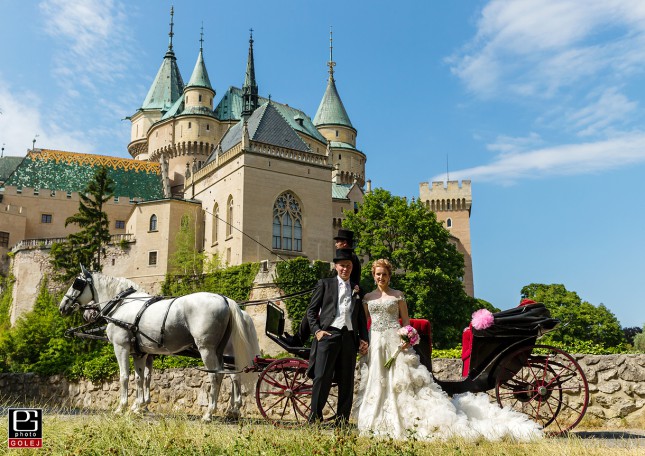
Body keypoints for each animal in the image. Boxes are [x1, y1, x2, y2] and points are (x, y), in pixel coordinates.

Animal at [59, 268, 260, 420]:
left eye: (77, 283)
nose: (62, 307)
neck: (122, 305)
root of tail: (225, 299)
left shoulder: (121, 347)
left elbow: (125, 376)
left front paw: (122, 407)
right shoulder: (140, 353)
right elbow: (140, 378)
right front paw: (138, 406)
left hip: (207, 349)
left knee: (216, 376)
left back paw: (210, 413)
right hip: (221, 351)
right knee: (232, 375)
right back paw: (232, 411)